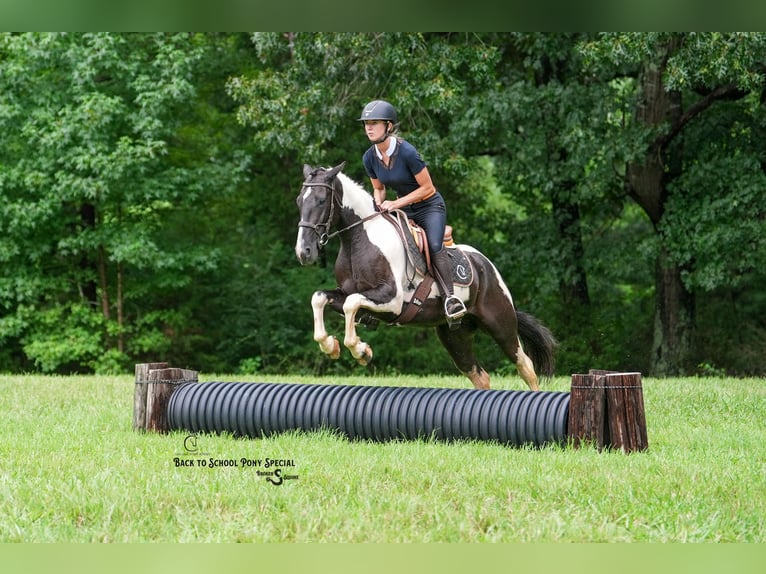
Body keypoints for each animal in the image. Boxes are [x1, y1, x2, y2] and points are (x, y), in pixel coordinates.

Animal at [294, 162, 556, 391]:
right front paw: (331, 346)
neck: (358, 240)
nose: (304, 252)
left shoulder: (392, 300)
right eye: (299, 201)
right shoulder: (346, 294)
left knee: (525, 366)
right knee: (479, 375)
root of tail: (486, 265)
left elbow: (351, 303)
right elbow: (320, 298)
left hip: (501, 323)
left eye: (321, 200)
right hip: (455, 334)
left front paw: (360, 351)